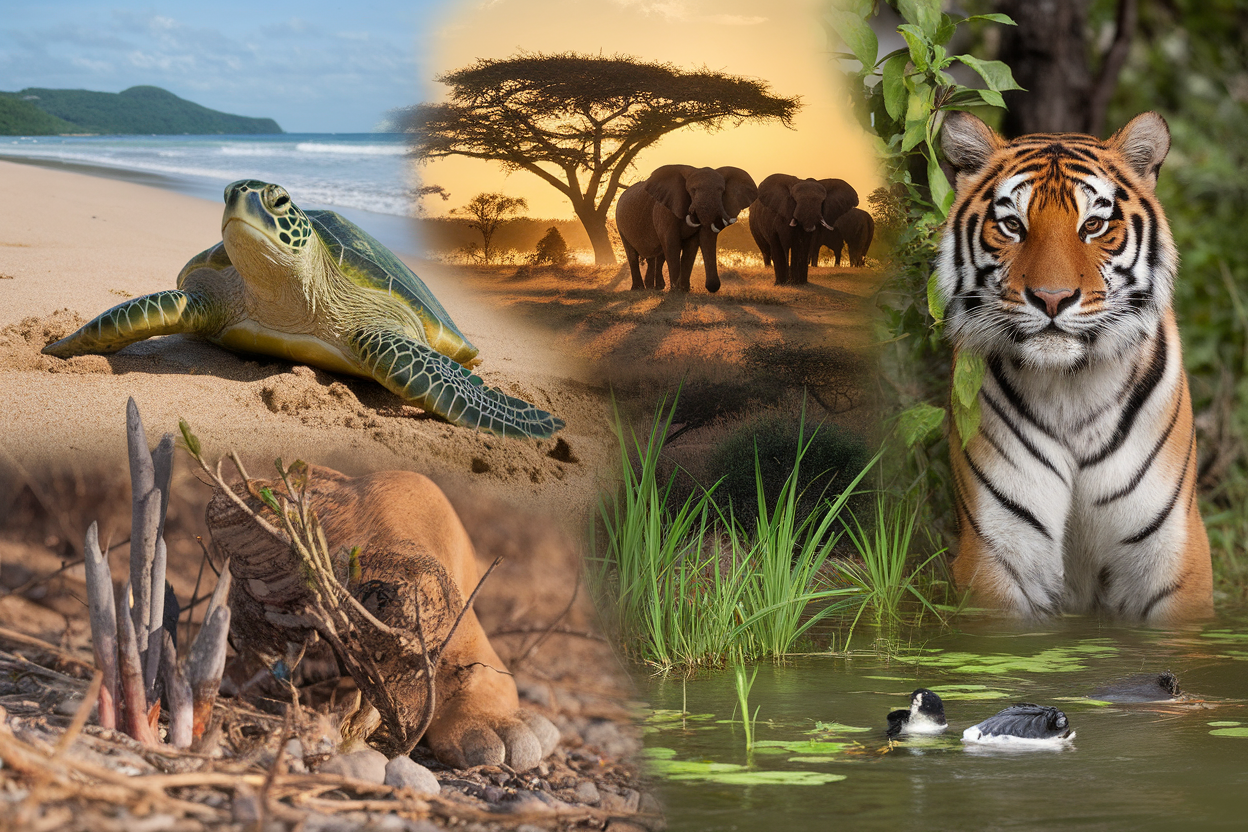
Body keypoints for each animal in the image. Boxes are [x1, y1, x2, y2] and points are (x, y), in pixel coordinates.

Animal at [615, 164, 758, 293]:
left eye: (722, 191)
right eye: (693, 190)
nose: (713, 288)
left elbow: (691, 246)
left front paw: (684, 289)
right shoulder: (665, 210)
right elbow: (672, 243)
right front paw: (675, 290)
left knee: (655, 257)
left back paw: (653, 288)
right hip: (620, 224)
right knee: (632, 255)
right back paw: (638, 289)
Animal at [934, 111, 1213, 623]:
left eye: (1094, 225)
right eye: (1012, 224)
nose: (1052, 298)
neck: (1071, 386)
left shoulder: (1173, 551)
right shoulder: (997, 552)